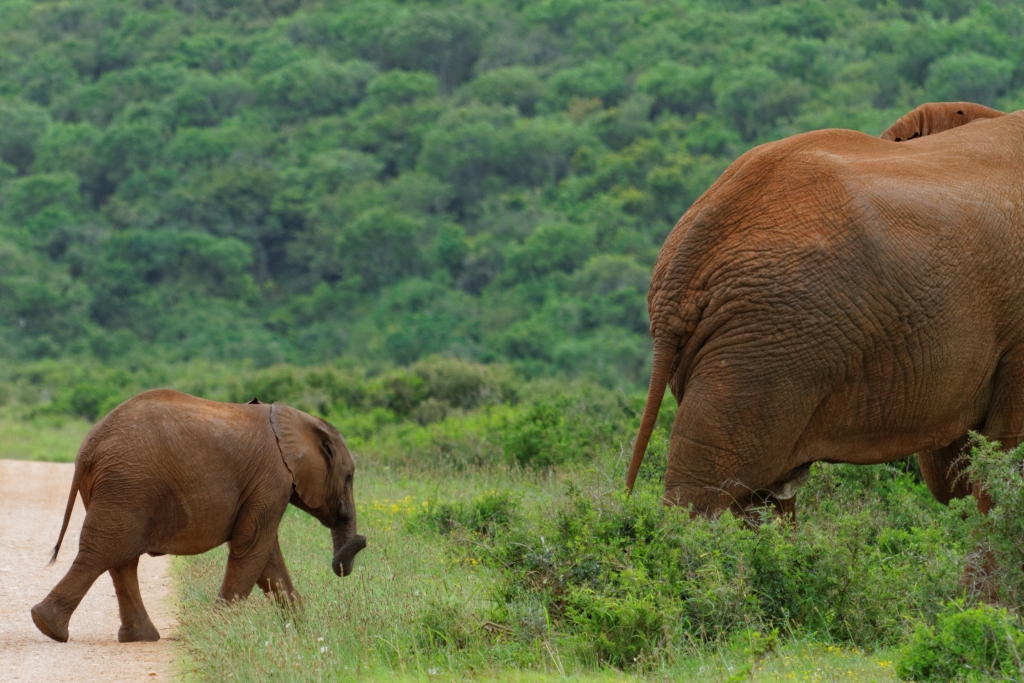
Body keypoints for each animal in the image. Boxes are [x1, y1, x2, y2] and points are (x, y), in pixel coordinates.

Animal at [31, 389, 366, 643]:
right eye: (349, 477)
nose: (362, 540)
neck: (295, 420)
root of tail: (87, 449)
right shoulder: (272, 479)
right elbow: (253, 547)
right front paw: (216, 631)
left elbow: (267, 556)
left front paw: (302, 631)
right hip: (127, 486)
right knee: (105, 553)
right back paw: (49, 627)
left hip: (121, 489)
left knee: (119, 559)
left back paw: (135, 637)